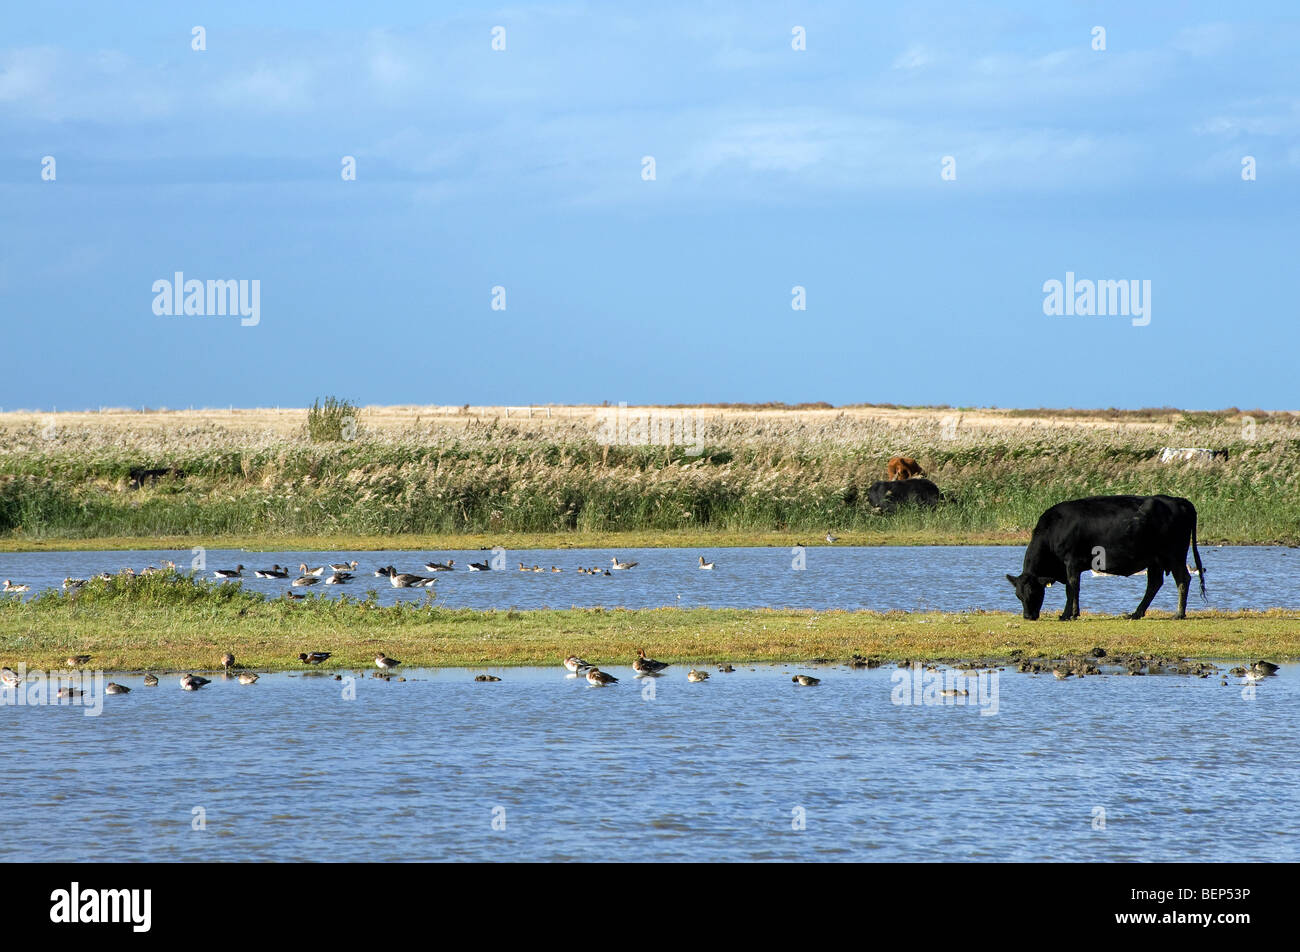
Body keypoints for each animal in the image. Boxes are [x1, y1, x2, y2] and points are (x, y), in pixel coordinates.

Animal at [1003, 494, 1206, 621]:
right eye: (1018, 595)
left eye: (1035, 592)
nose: (1028, 616)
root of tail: (1178, 500)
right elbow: (1072, 588)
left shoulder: (1071, 562)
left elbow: (1072, 588)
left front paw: (1069, 614)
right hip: (1154, 560)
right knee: (1154, 584)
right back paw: (1136, 613)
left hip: (1175, 555)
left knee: (1183, 579)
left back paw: (1179, 614)